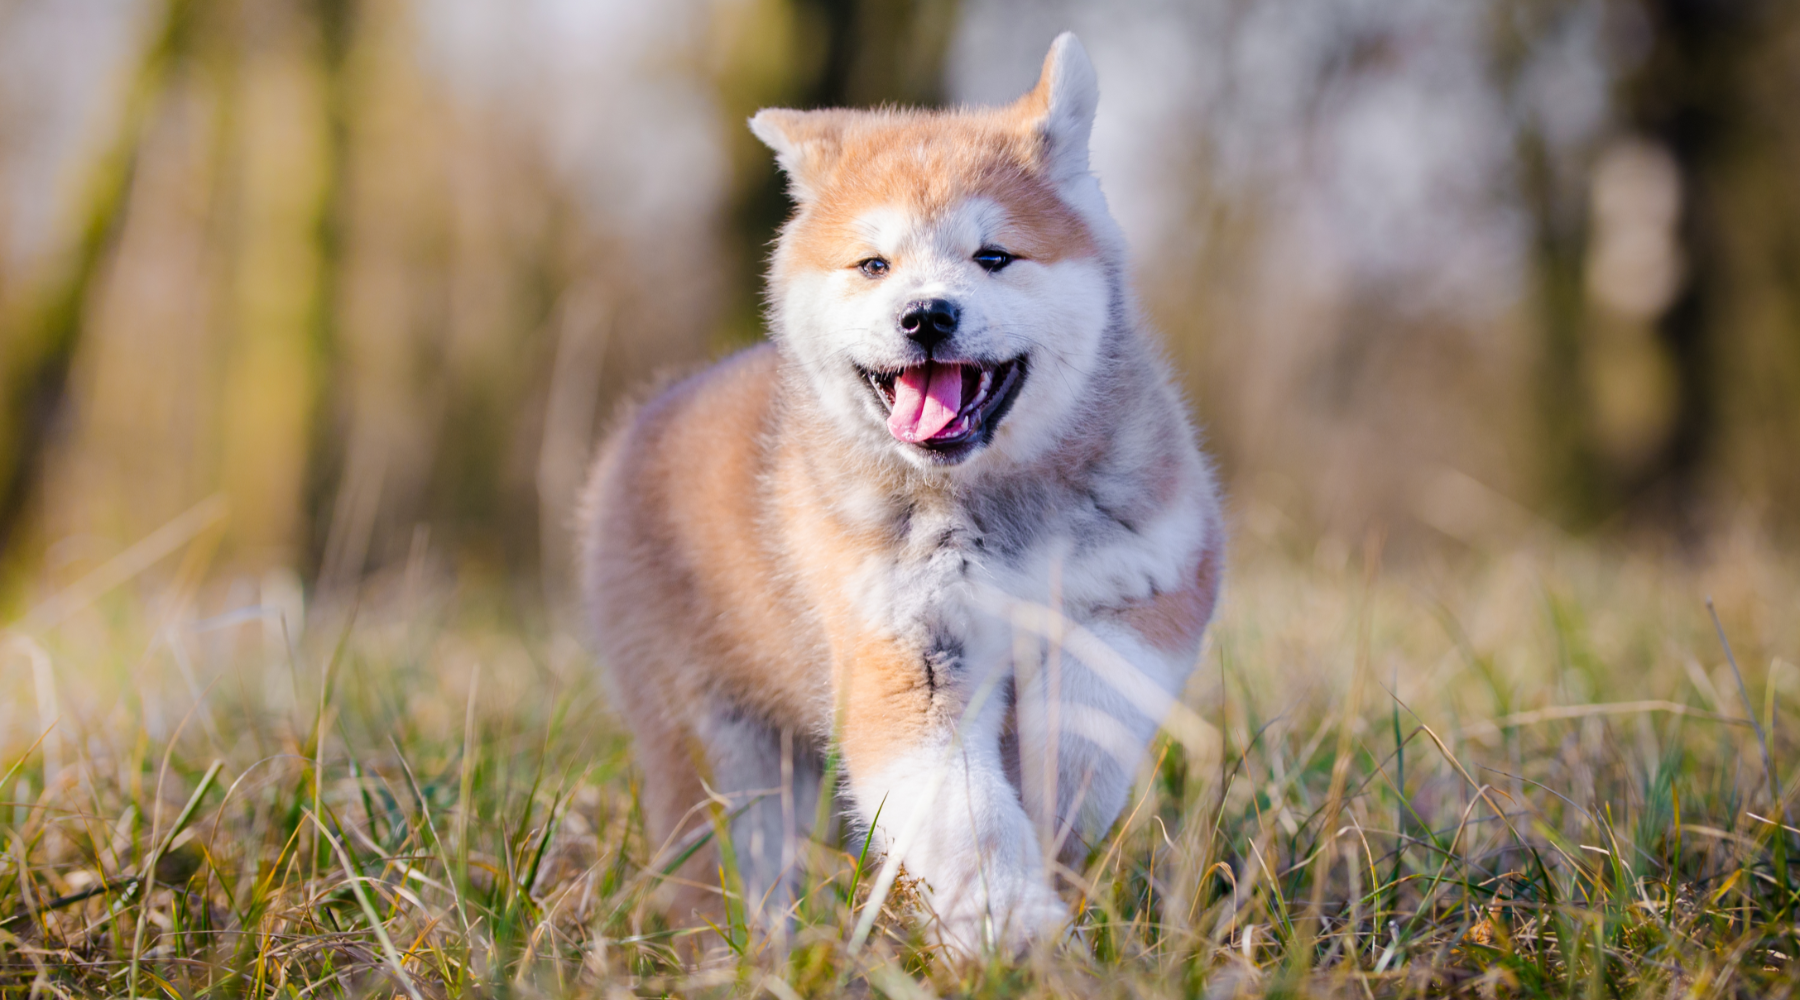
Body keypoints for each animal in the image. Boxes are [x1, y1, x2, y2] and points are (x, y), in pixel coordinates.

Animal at [576, 33, 1224, 949]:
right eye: (874, 265)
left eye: (994, 256)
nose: (925, 315)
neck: (995, 509)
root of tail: (646, 420)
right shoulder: (903, 655)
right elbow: (967, 816)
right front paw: (1008, 924)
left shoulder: (1145, 589)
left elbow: (1082, 739)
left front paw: (1049, 827)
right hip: (718, 746)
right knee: (734, 866)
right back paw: (756, 951)